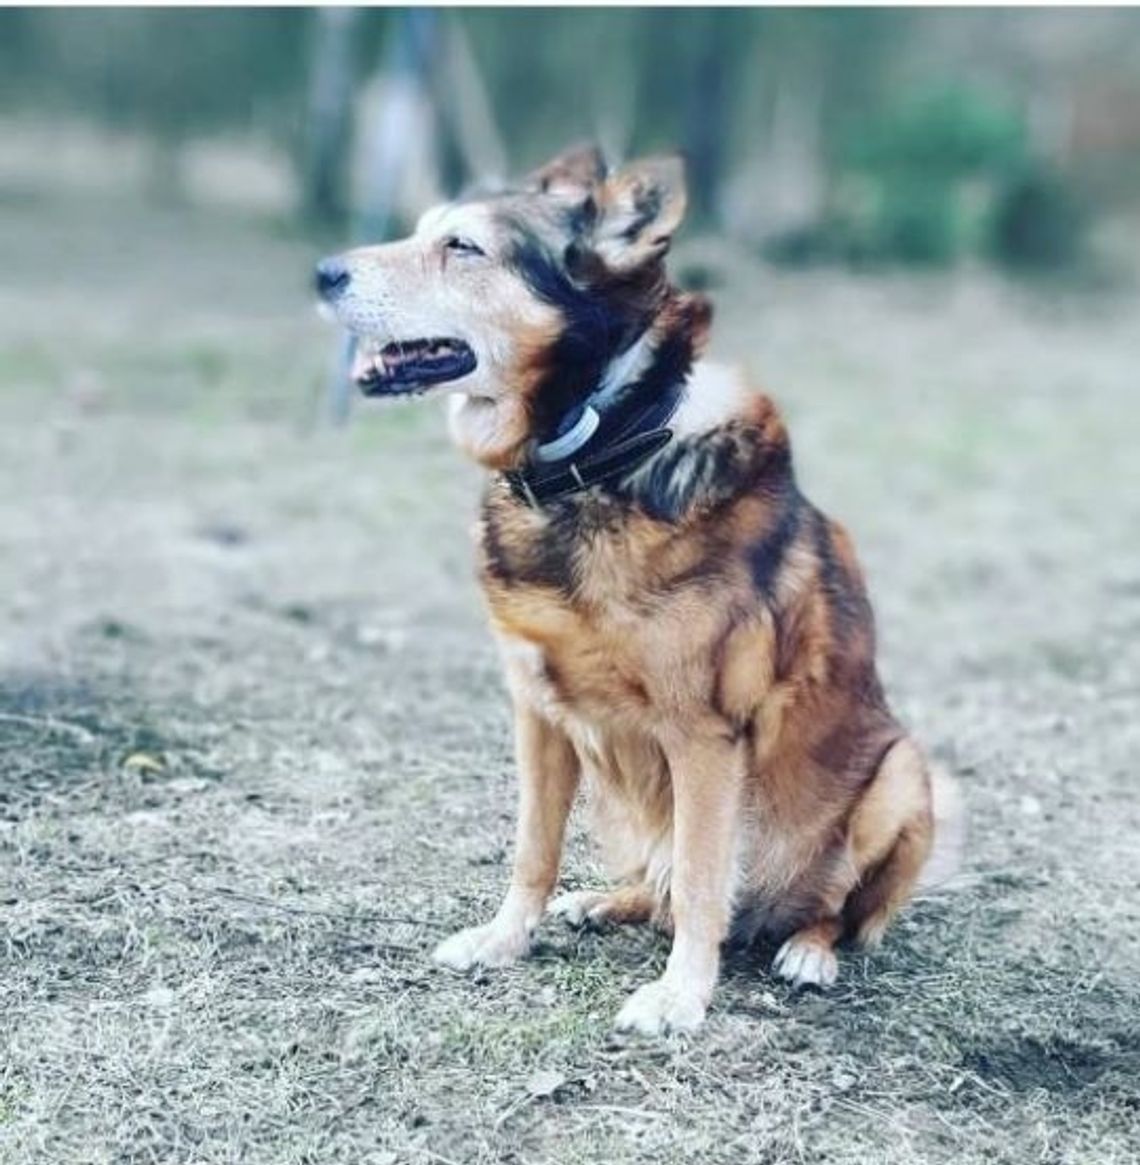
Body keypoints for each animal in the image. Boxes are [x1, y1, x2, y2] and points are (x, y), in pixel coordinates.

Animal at [319, 140, 964, 1034]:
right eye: (421, 229)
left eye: (463, 246)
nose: (322, 273)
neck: (602, 444)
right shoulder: (535, 710)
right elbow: (534, 848)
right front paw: (504, 939)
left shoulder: (704, 736)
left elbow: (700, 879)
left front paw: (679, 995)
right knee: (655, 881)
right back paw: (605, 900)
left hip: (903, 776)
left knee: (830, 907)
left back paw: (809, 950)